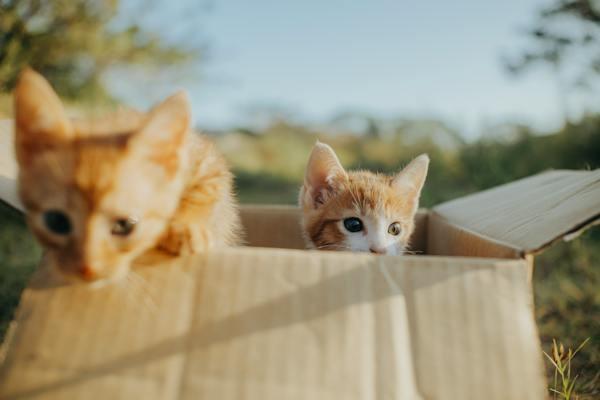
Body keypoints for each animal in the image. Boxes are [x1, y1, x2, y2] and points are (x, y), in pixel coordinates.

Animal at [13, 69, 241, 282]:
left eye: (124, 224)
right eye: (56, 221)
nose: (87, 270)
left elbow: (201, 193)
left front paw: (186, 227)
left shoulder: (208, 164)